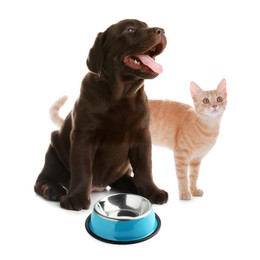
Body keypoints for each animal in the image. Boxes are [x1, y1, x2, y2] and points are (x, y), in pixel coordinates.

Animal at [34, 19, 169, 210]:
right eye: (130, 29)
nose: (161, 31)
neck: (123, 96)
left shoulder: (142, 137)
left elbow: (145, 168)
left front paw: (152, 191)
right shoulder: (83, 136)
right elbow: (82, 169)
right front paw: (76, 197)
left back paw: (133, 185)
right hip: (53, 150)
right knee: (42, 180)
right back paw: (52, 189)